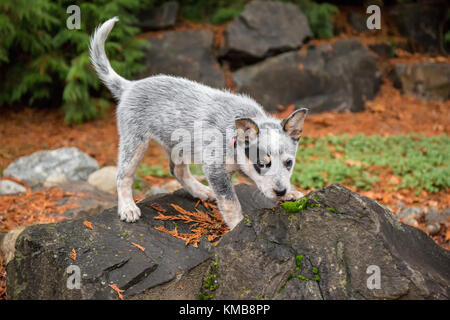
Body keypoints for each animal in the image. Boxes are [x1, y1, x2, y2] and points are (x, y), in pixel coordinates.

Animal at [89, 16, 308, 230]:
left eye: (289, 163)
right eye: (261, 163)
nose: (280, 191)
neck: (233, 136)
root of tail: (130, 86)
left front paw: (292, 192)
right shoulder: (215, 170)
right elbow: (230, 203)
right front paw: (238, 225)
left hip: (176, 143)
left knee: (177, 171)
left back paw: (202, 191)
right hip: (135, 141)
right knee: (123, 176)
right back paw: (128, 208)